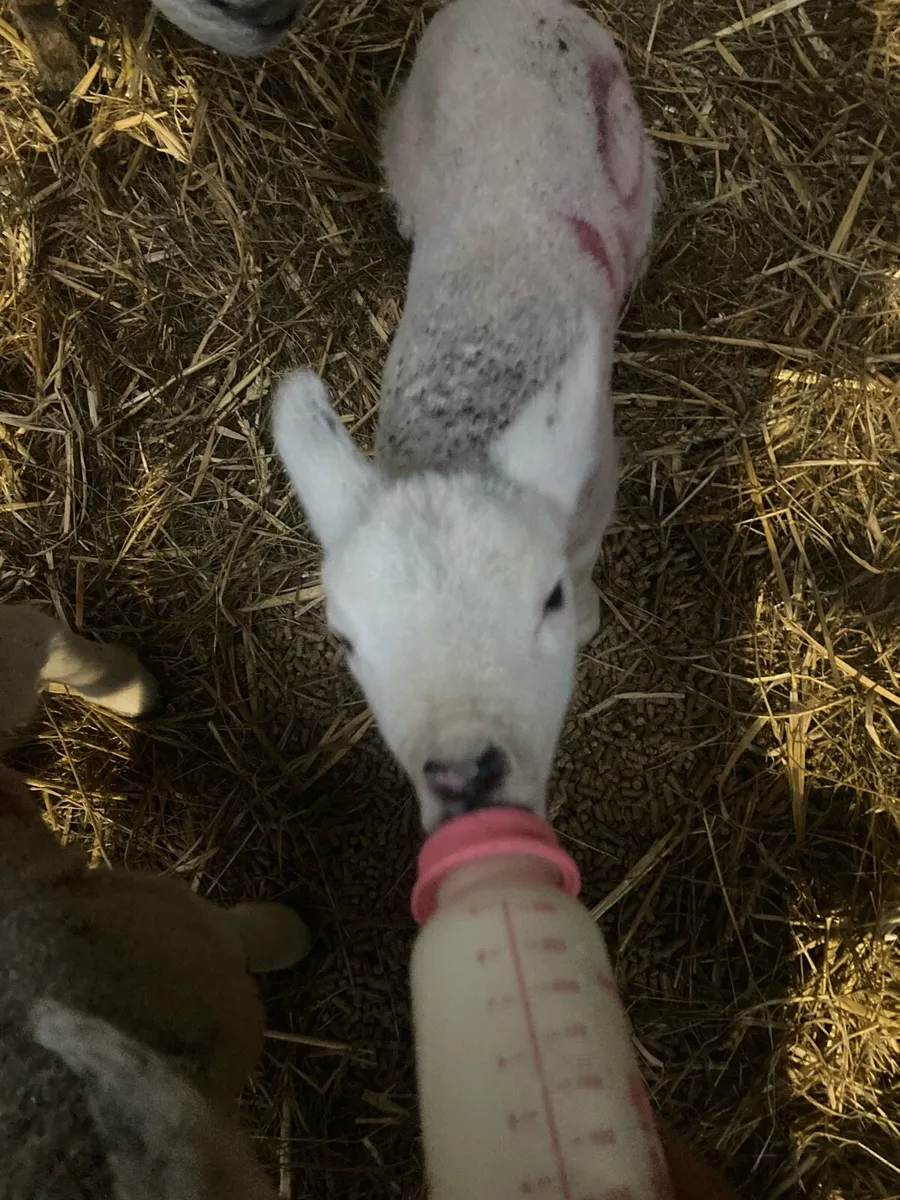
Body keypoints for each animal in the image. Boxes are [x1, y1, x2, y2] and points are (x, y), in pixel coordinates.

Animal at [273, 0, 657, 833]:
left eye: (547, 597)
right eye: (344, 639)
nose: (465, 775)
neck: (466, 405)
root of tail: (508, 7)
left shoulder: (591, 510)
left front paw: (587, 621)